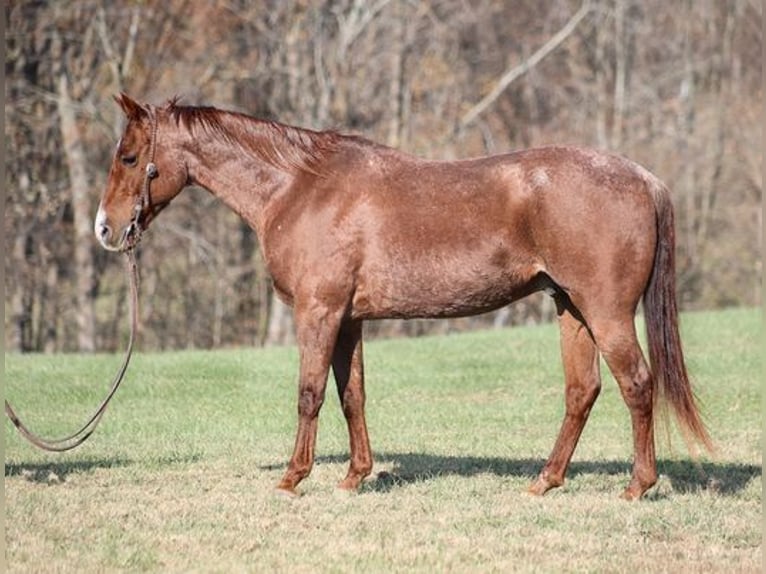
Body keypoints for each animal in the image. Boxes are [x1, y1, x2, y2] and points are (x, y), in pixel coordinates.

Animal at [96, 94, 712, 500]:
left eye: (129, 157)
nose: (105, 229)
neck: (301, 187)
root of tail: (641, 177)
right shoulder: (348, 319)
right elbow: (352, 395)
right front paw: (354, 476)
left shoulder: (319, 312)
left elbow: (309, 394)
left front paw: (294, 478)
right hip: (571, 308)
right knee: (582, 391)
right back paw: (545, 481)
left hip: (606, 312)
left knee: (637, 385)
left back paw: (637, 486)